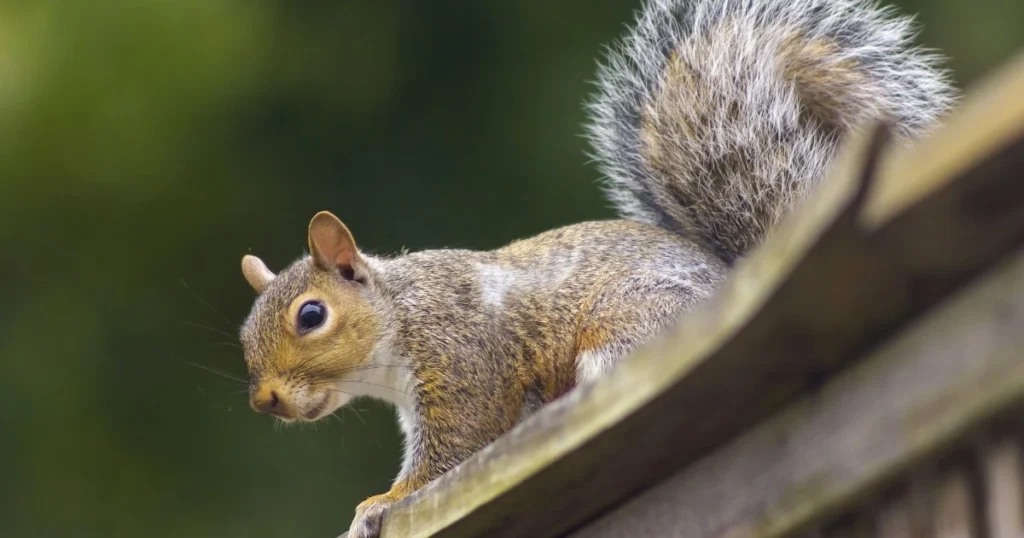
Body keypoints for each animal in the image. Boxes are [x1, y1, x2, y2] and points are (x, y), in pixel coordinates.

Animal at [235, 0, 954, 532]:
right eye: (244, 335)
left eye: (311, 315)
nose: (265, 400)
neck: (399, 316)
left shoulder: (463, 360)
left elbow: (455, 447)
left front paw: (379, 503)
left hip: (626, 328)